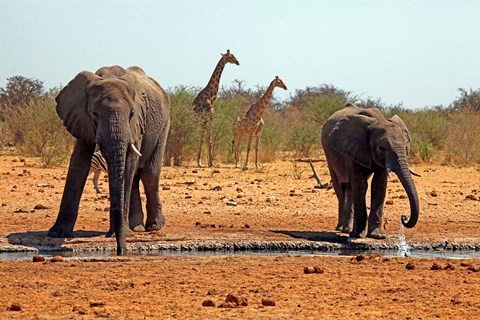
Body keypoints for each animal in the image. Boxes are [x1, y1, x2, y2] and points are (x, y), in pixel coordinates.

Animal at [47, 65, 171, 255]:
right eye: (94, 114)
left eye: (132, 113)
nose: (121, 250)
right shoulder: (82, 121)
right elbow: (78, 164)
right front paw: (56, 233)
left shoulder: (136, 124)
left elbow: (128, 164)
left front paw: (121, 233)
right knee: (135, 178)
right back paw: (136, 227)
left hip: (164, 125)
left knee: (149, 175)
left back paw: (153, 227)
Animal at [320, 104, 418, 239]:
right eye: (382, 148)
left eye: (406, 147)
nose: (404, 217)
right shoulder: (351, 148)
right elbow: (361, 185)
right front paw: (358, 235)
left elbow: (379, 185)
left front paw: (377, 235)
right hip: (329, 157)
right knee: (341, 189)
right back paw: (341, 229)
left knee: (350, 189)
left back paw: (347, 229)